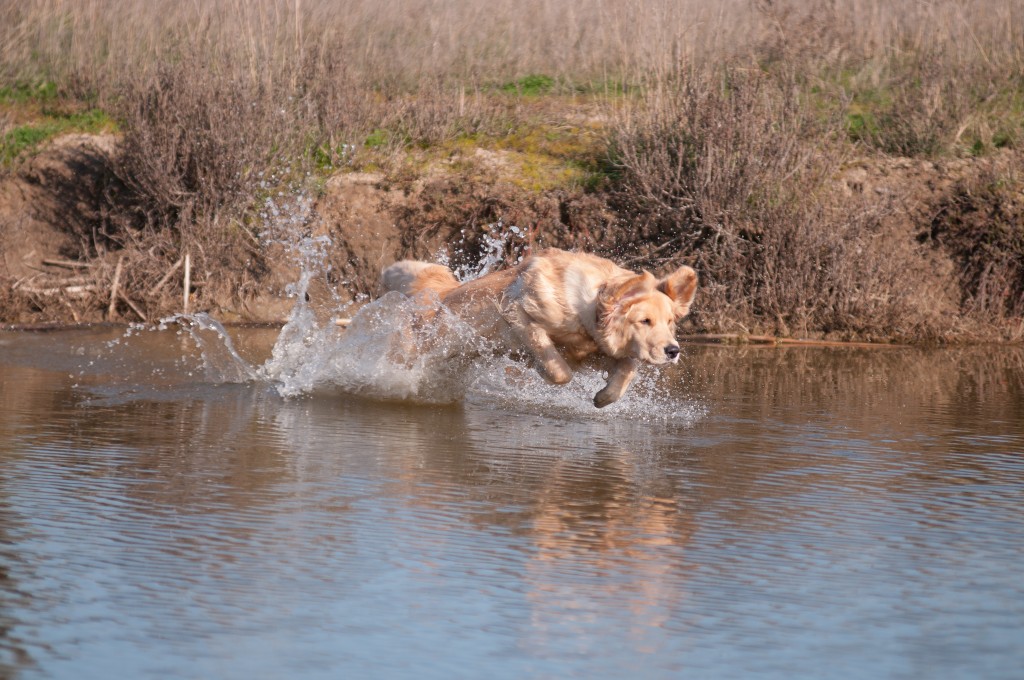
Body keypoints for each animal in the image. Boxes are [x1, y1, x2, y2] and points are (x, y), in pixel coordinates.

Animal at [380, 246, 700, 405]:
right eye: (644, 321)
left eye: (670, 322)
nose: (673, 351)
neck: (585, 311)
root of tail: (441, 292)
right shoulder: (519, 314)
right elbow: (559, 370)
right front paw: (542, 370)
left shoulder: (600, 348)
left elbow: (626, 372)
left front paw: (602, 397)